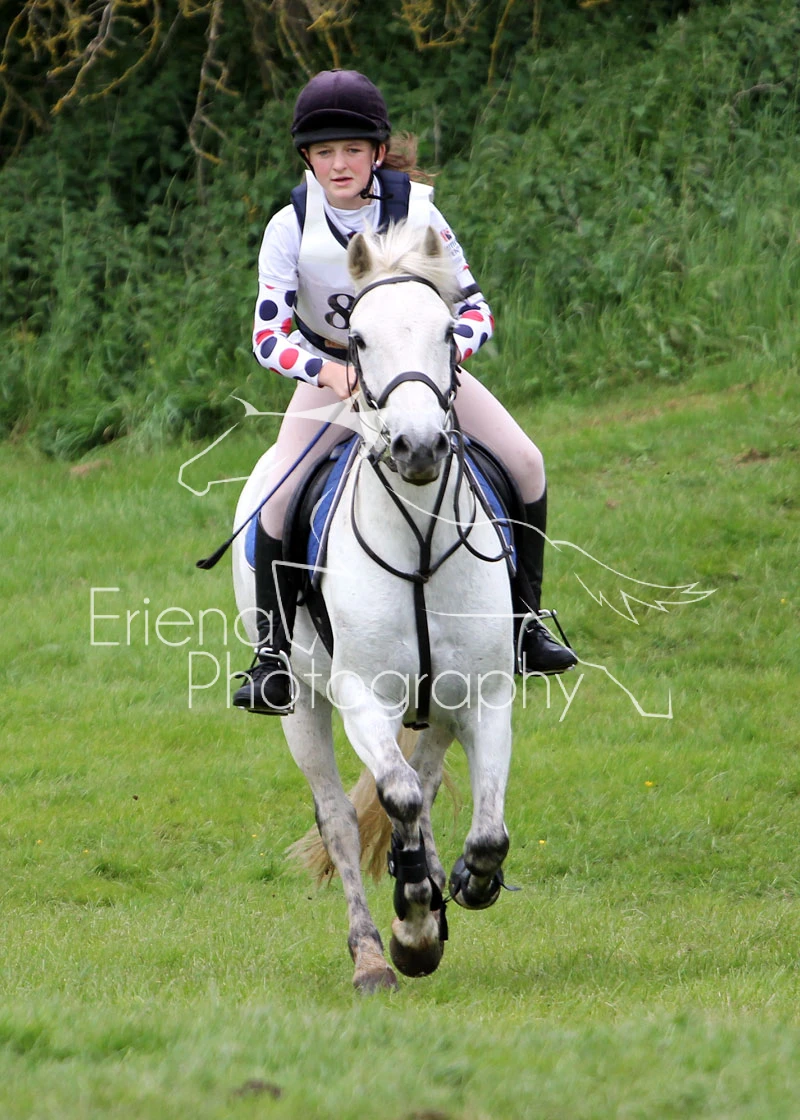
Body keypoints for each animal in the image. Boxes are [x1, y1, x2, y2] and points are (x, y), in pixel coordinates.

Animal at [233, 223, 516, 992]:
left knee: (424, 780)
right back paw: (372, 955)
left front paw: (464, 885)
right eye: (357, 339)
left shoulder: (485, 693)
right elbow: (396, 799)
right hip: (302, 703)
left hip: (437, 707)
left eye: (448, 330)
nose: (417, 446)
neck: (418, 537)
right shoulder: (364, 695)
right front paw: (413, 922)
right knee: (341, 814)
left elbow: (485, 827)